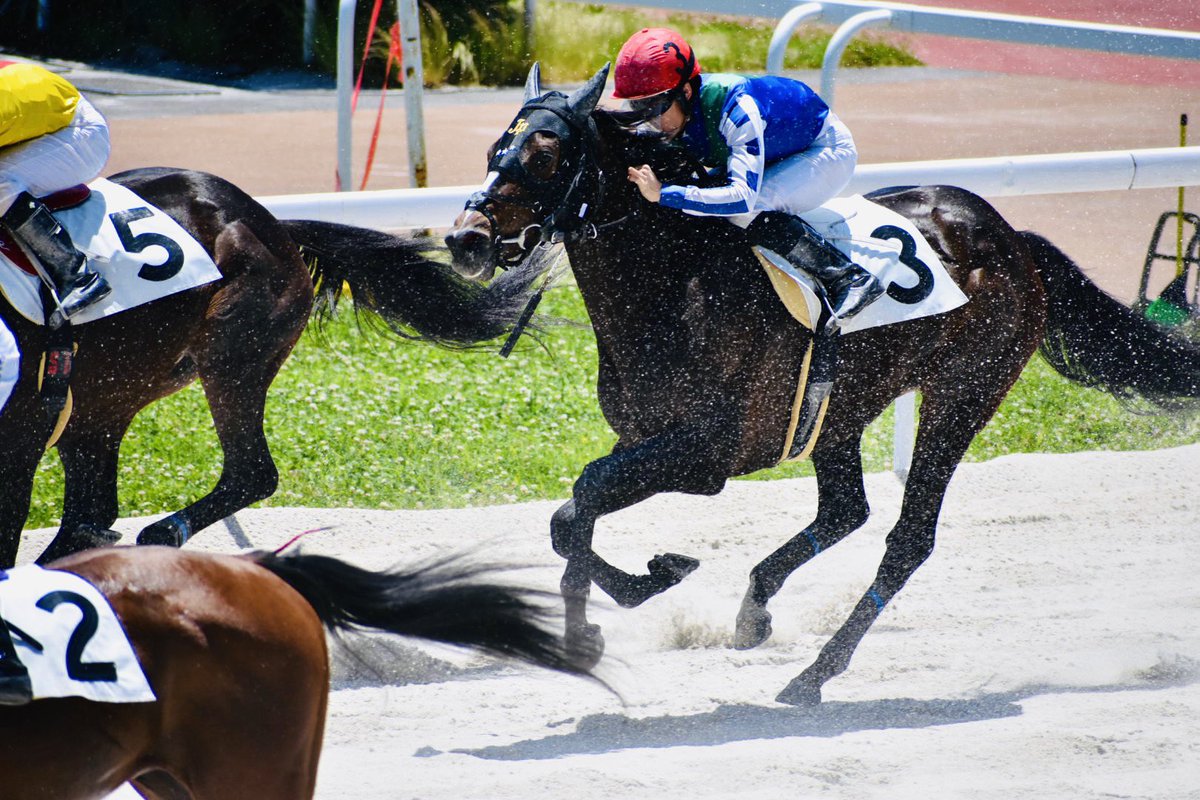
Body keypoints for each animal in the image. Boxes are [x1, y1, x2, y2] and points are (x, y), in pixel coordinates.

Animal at [0, 166, 546, 568]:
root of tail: (269, 221)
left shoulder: (22, 435)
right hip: (105, 397)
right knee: (92, 511)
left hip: (231, 355)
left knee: (252, 471)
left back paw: (163, 531)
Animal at [443, 64, 1200, 706]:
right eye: (496, 147)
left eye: (546, 155)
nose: (465, 239)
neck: (677, 284)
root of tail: (1013, 239)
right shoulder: (645, 439)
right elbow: (570, 517)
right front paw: (621, 603)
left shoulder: (707, 453)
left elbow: (583, 497)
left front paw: (620, 603)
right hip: (841, 407)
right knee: (846, 509)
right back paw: (755, 612)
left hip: (963, 394)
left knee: (907, 538)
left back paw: (813, 675)